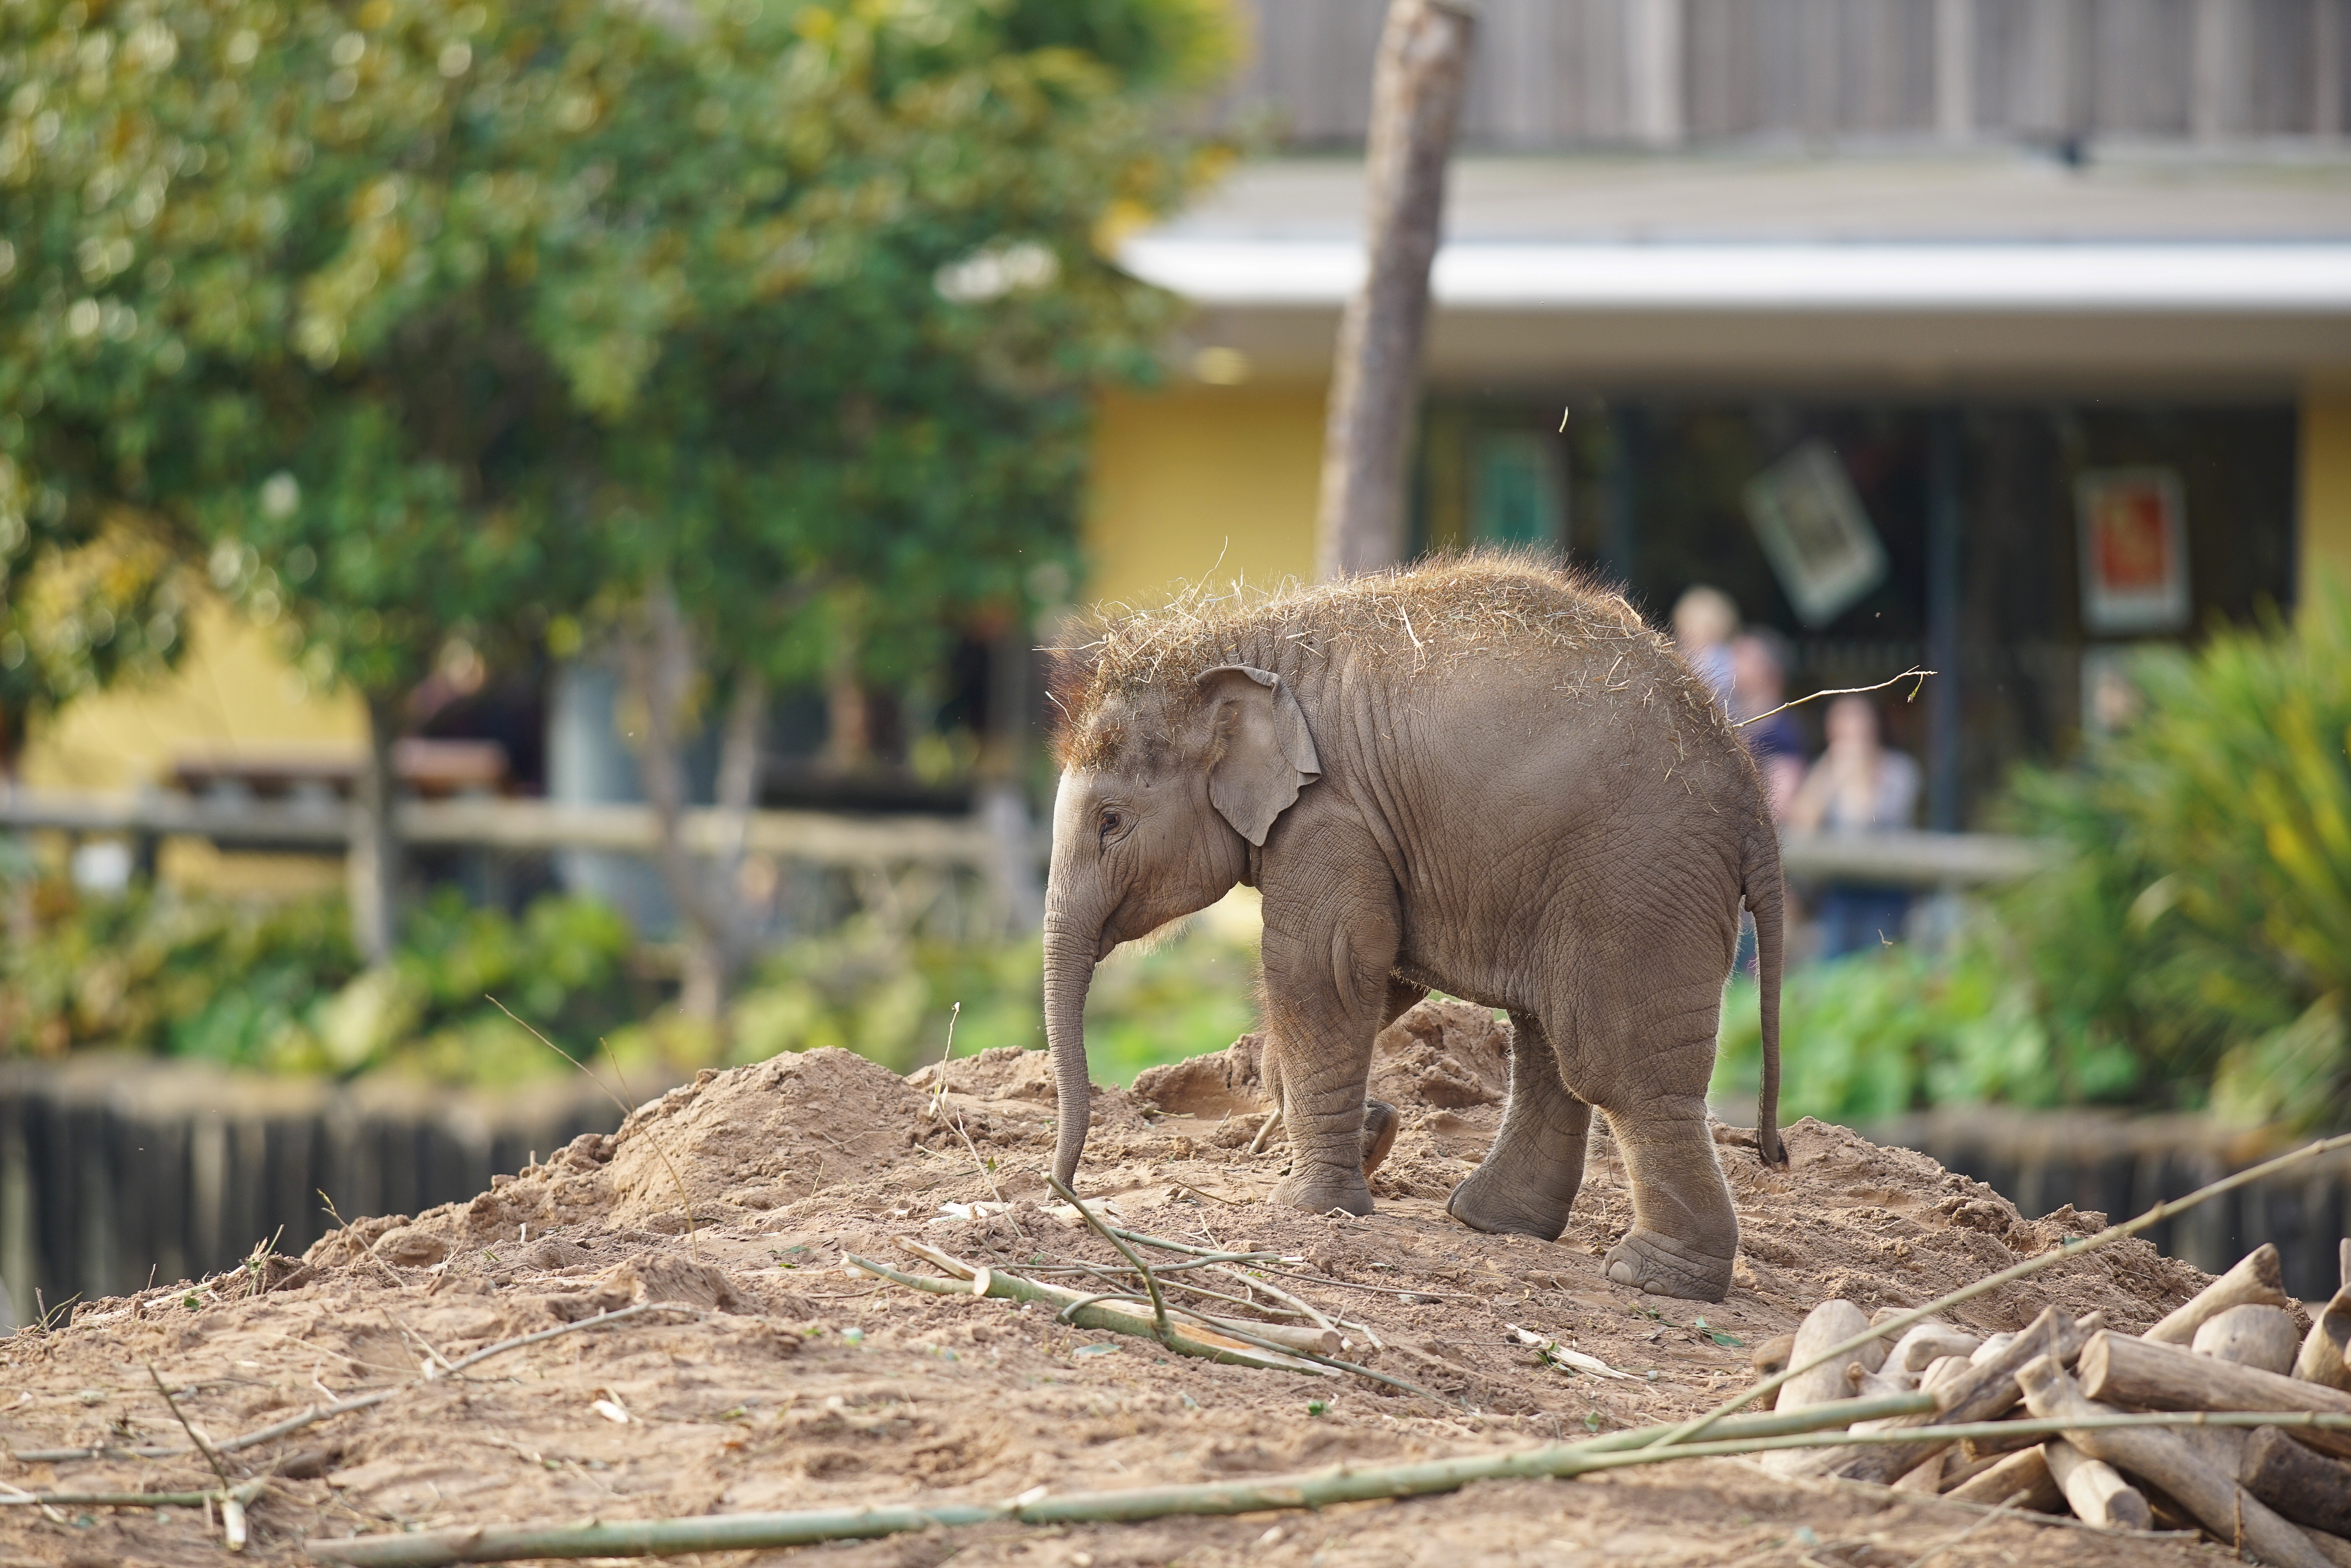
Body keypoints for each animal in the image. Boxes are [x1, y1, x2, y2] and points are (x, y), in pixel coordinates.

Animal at [1041, 556, 1785, 1302]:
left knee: (1614, 1068)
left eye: (1110, 822)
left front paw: (1312, 1204)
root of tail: (1751, 792)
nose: (1063, 1191)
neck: (1239, 642)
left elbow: (1325, 966)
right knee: (1545, 1039)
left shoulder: (1329, 815)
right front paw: (1369, 1133)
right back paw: (1490, 1221)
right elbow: (1383, 971)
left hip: (1634, 885)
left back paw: (1653, 1277)